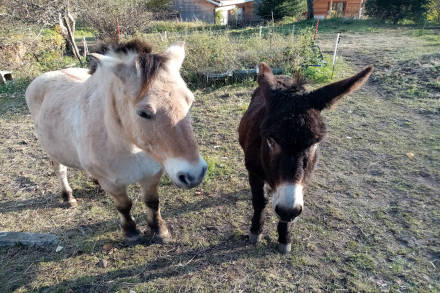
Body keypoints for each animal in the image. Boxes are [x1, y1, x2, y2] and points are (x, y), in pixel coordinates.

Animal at [25, 38, 208, 241]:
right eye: (143, 113)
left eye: (190, 101)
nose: (194, 174)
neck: (129, 148)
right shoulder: (113, 185)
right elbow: (124, 206)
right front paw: (131, 232)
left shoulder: (152, 175)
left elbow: (152, 202)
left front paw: (159, 230)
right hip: (53, 153)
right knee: (60, 171)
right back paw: (68, 197)